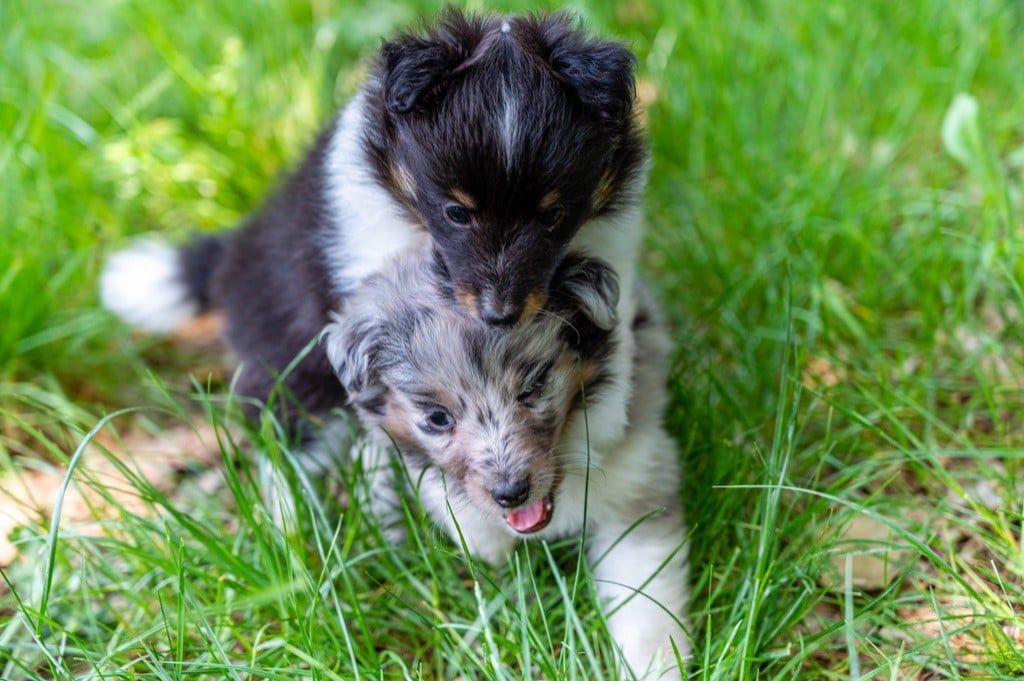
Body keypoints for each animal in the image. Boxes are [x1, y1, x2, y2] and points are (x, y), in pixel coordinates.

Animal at [321, 248, 688, 675]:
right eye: (438, 418)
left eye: (533, 387)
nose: (511, 493)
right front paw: (487, 544)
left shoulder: (637, 481)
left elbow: (645, 592)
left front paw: (659, 665)